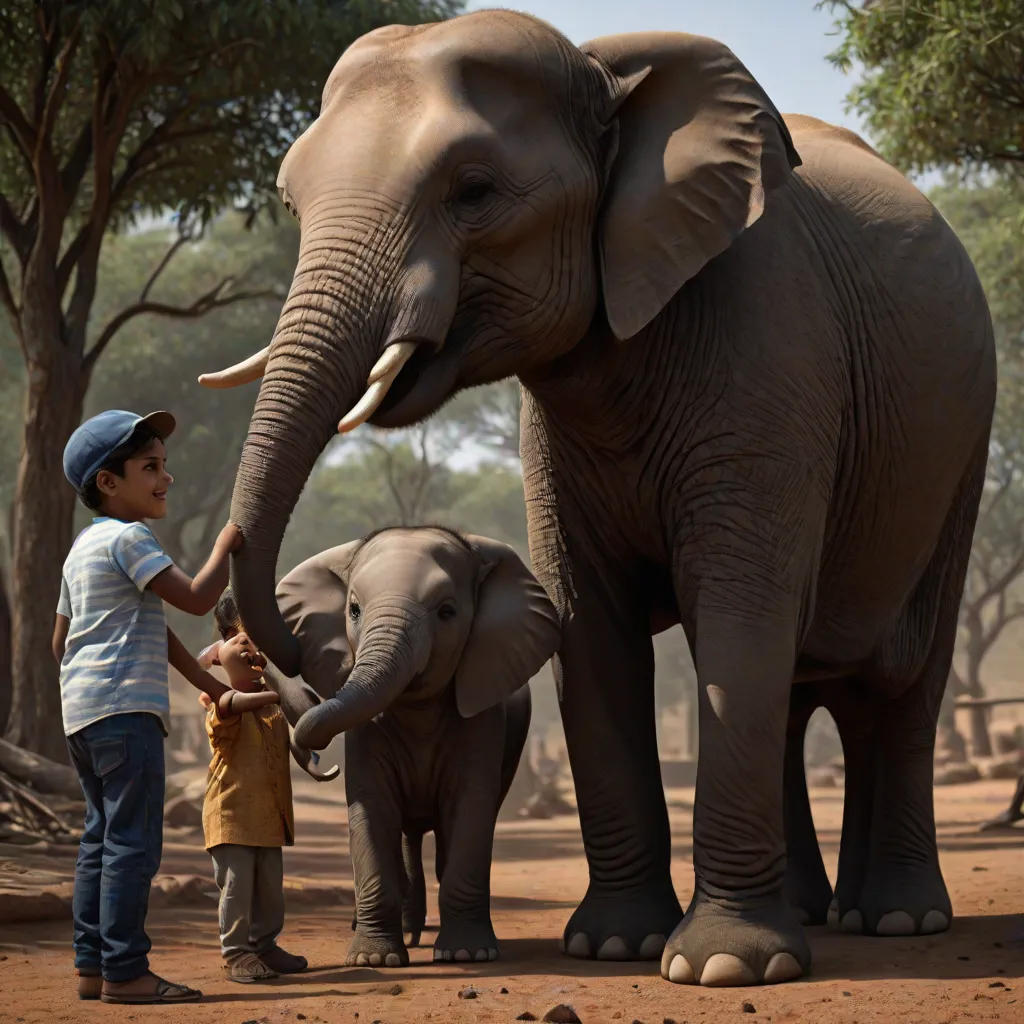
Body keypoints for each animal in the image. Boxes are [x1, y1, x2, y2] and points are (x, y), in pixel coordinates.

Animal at [269, 526, 560, 966]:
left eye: (447, 612)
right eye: (354, 610)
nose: (226, 606)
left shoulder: (482, 720)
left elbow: (471, 807)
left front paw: (466, 954)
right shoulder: (367, 730)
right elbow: (372, 807)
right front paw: (373, 959)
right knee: (406, 834)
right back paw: (406, 933)